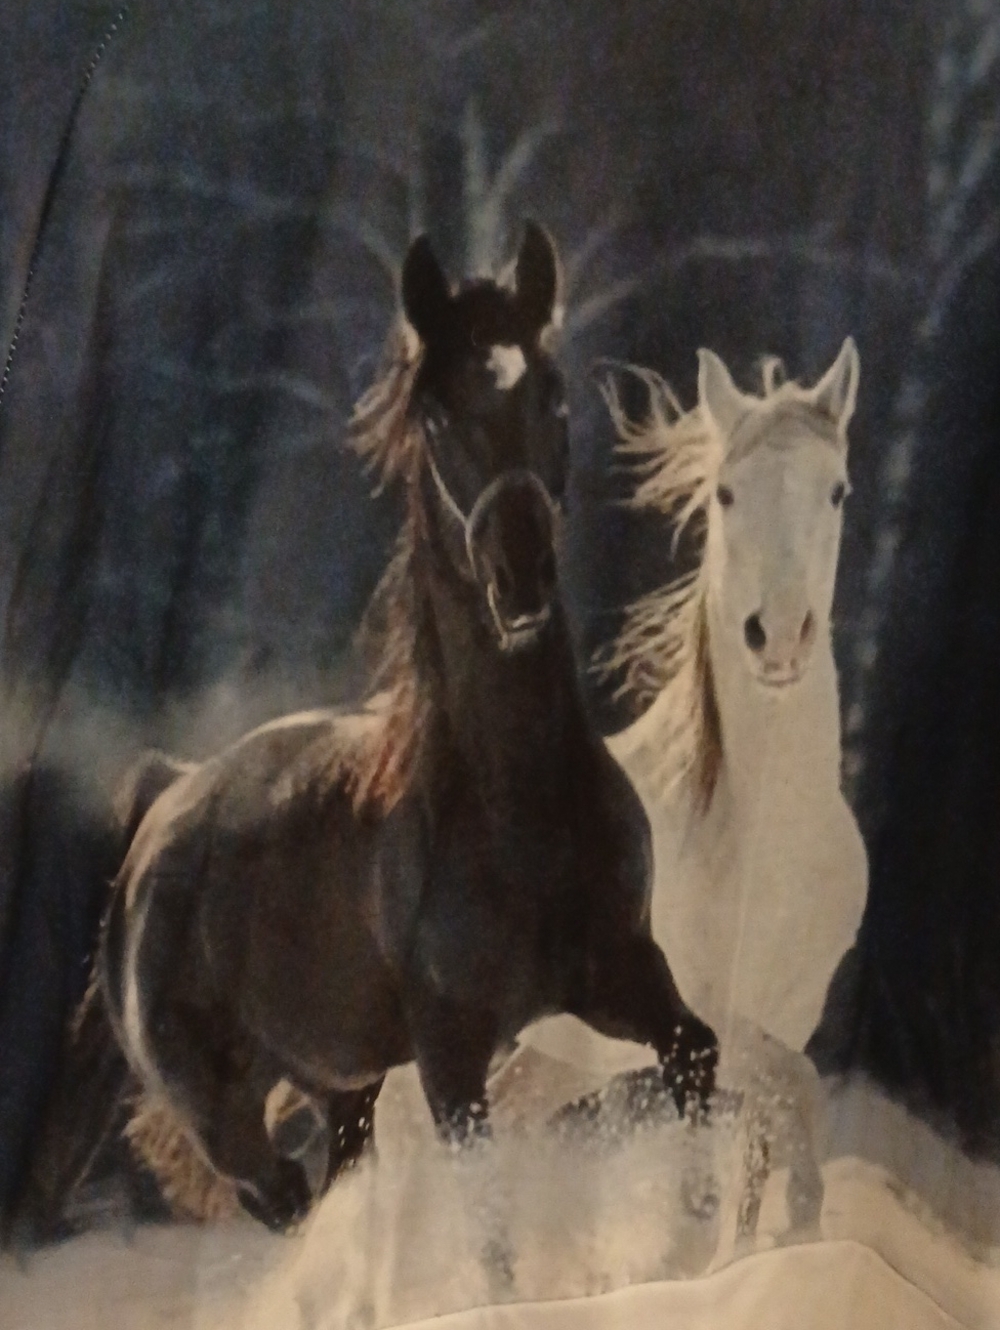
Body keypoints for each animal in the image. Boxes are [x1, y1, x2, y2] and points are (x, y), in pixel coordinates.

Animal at [76, 221, 717, 1244]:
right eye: (439, 418)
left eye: (552, 391)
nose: (521, 576)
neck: (517, 811)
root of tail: (163, 805)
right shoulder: (453, 1061)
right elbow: (489, 1234)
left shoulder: (621, 971)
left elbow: (695, 1055)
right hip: (230, 1126)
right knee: (291, 1203)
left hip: (344, 1083)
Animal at [508, 339, 869, 1252]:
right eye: (726, 493)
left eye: (837, 490)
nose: (777, 639)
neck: (762, 845)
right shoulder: (697, 1025)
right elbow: (773, 1114)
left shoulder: (790, 1011)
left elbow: (761, 1151)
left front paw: (781, 1241)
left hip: (543, 1065)